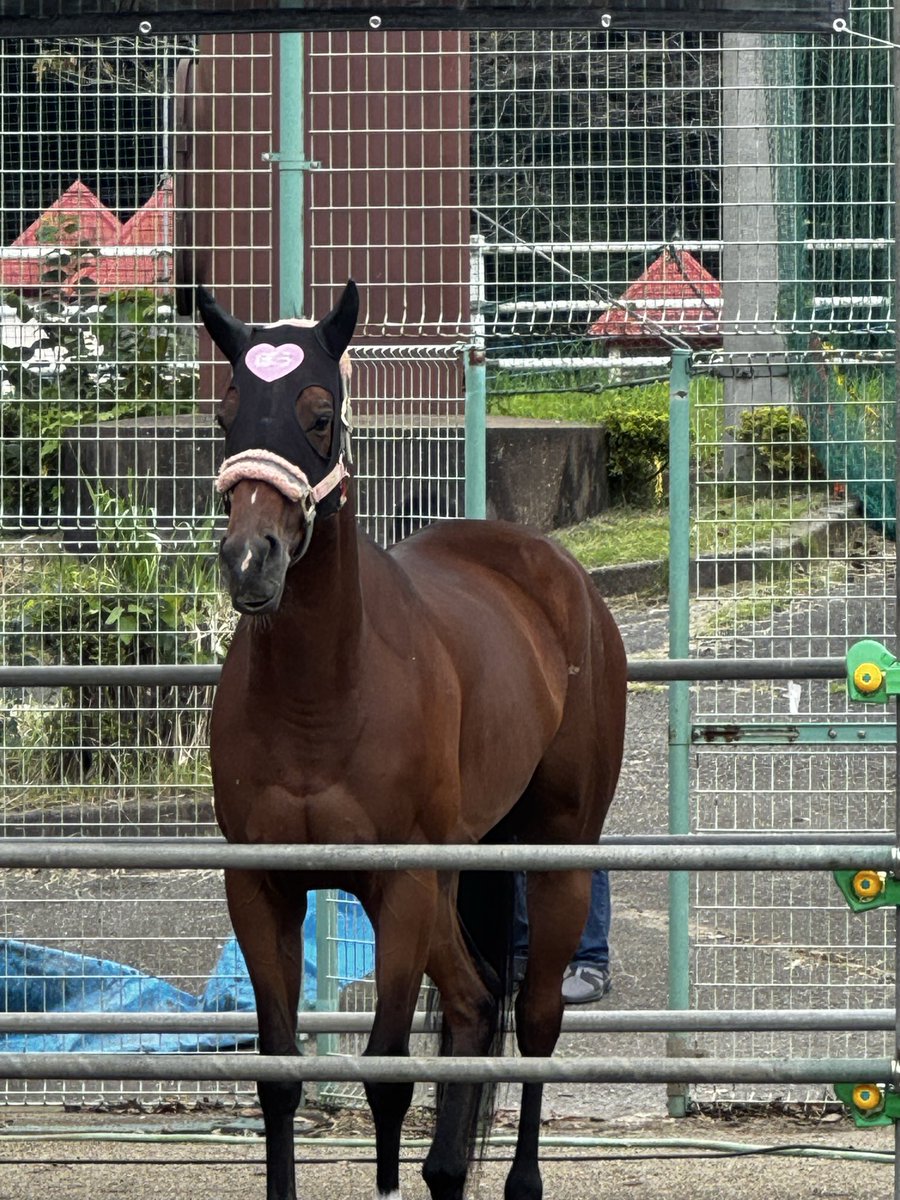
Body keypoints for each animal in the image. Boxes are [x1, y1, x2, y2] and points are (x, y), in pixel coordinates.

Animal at [199, 279, 627, 1200]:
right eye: (226, 413)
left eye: (320, 414)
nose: (251, 561)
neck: (323, 697)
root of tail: (552, 571)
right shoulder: (261, 887)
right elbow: (278, 1076)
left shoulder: (399, 888)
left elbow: (389, 1077)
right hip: (457, 876)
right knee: (474, 1002)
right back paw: (446, 1170)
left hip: (553, 855)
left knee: (533, 1016)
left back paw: (517, 1181)